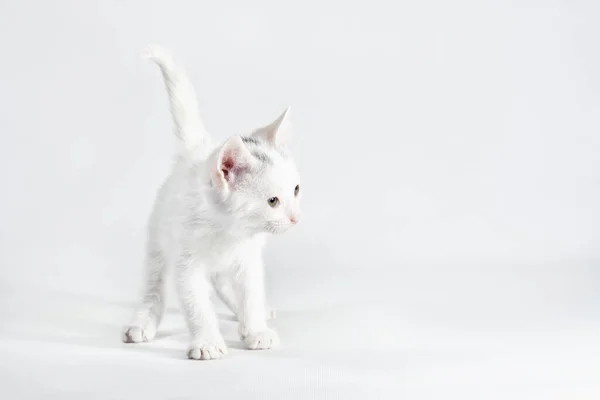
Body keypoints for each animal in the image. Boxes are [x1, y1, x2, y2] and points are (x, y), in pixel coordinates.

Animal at [122, 45, 300, 360]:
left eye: (296, 190)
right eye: (272, 201)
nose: (295, 218)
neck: (229, 231)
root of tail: (196, 150)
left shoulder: (249, 257)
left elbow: (251, 293)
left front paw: (255, 329)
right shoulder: (187, 264)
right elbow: (197, 305)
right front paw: (206, 343)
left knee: (223, 283)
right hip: (158, 236)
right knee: (154, 283)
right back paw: (142, 322)